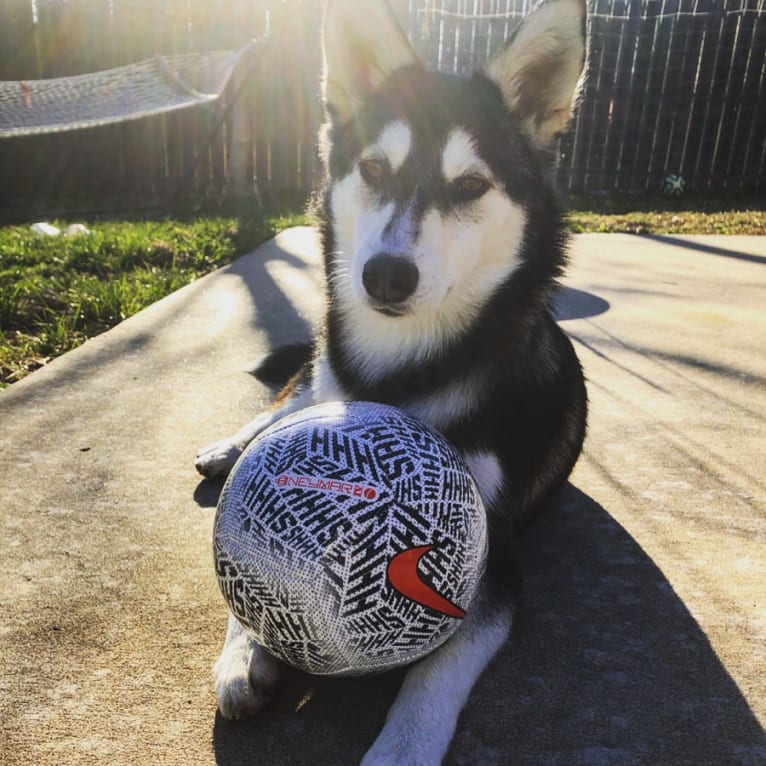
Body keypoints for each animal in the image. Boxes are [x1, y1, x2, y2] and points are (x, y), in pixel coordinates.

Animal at [196, 0, 588, 760]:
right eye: (375, 168)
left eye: (471, 186)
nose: (384, 275)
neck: (403, 369)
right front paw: (244, 649)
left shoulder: (495, 561)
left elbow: (436, 670)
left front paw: (403, 746)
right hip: (318, 369)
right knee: (290, 395)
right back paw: (231, 444)